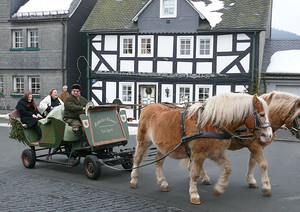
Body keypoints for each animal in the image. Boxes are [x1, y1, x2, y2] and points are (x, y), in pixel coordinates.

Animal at [130, 92, 274, 204]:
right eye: (261, 114)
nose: (269, 135)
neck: (213, 122)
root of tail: (149, 106)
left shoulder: (215, 153)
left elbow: (227, 168)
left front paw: (219, 188)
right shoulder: (198, 154)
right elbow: (194, 173)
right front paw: (194, 195)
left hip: (163, 146)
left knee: (158, 161)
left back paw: (163, 183)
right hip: (143, 141)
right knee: (137, 159)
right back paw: (134, 179)